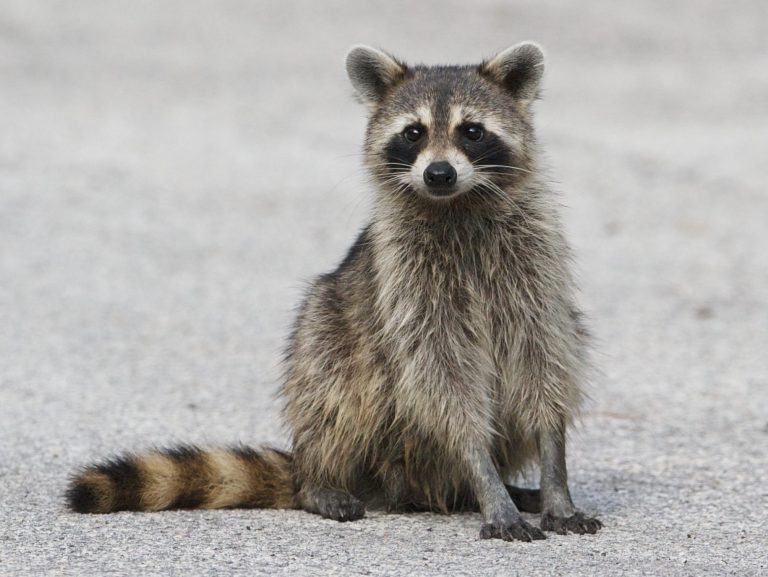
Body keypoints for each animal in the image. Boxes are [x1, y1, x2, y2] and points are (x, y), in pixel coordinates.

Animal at [66, 44, 604, 540]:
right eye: (413, 133)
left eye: (472, 131)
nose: (439, 173)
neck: (456, 205)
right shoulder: (409, 287)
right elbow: (444, 383)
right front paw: (485, 477)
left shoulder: (534, 272)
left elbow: (546, 365)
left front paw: (554, 480)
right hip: (330, 331)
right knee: (333, 383)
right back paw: (327, 481)